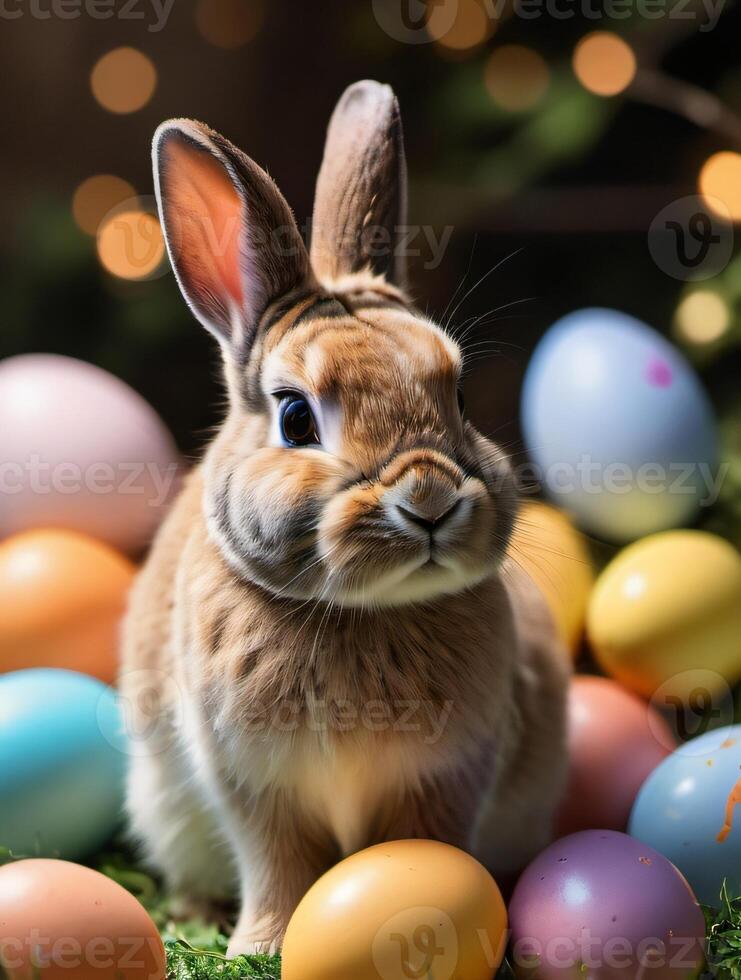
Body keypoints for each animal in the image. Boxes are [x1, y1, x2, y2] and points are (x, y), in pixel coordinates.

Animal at [121, 80, 568, 952]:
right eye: (295, 418)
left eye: (459, 398)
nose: (428, 498)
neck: (359, 614)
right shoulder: (253, 786)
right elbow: (280, 866)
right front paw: (260, 946)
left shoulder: (445, 777)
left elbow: (421, 847)